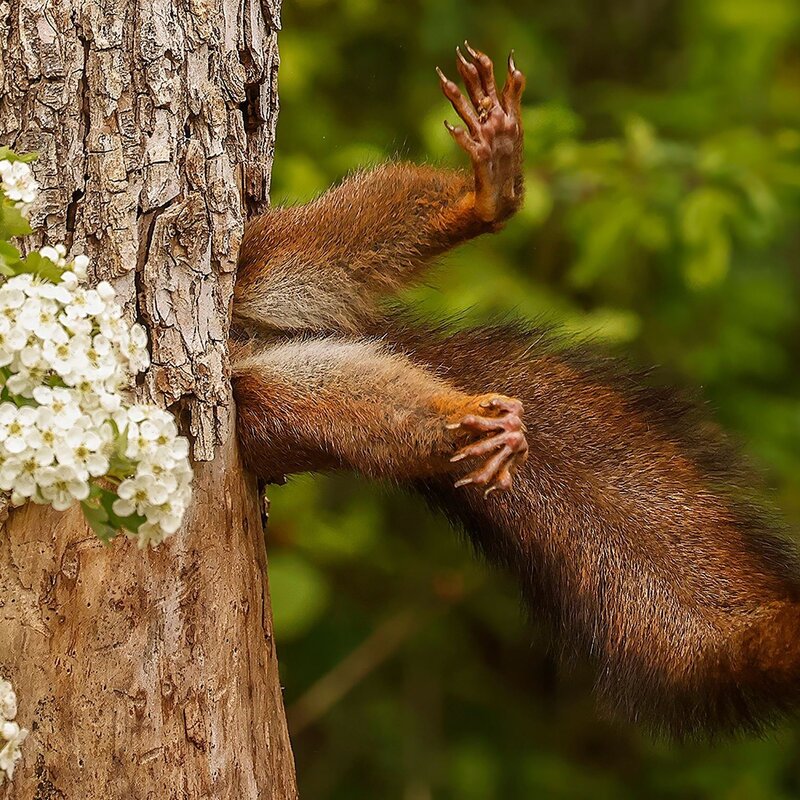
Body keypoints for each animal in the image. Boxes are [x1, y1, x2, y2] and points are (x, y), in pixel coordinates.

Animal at [230, 44, 800, 738]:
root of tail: (247, 342)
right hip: (265, 404)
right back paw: (472, 419)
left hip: (262, 262)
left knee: (325, 247)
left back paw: (488, 196)